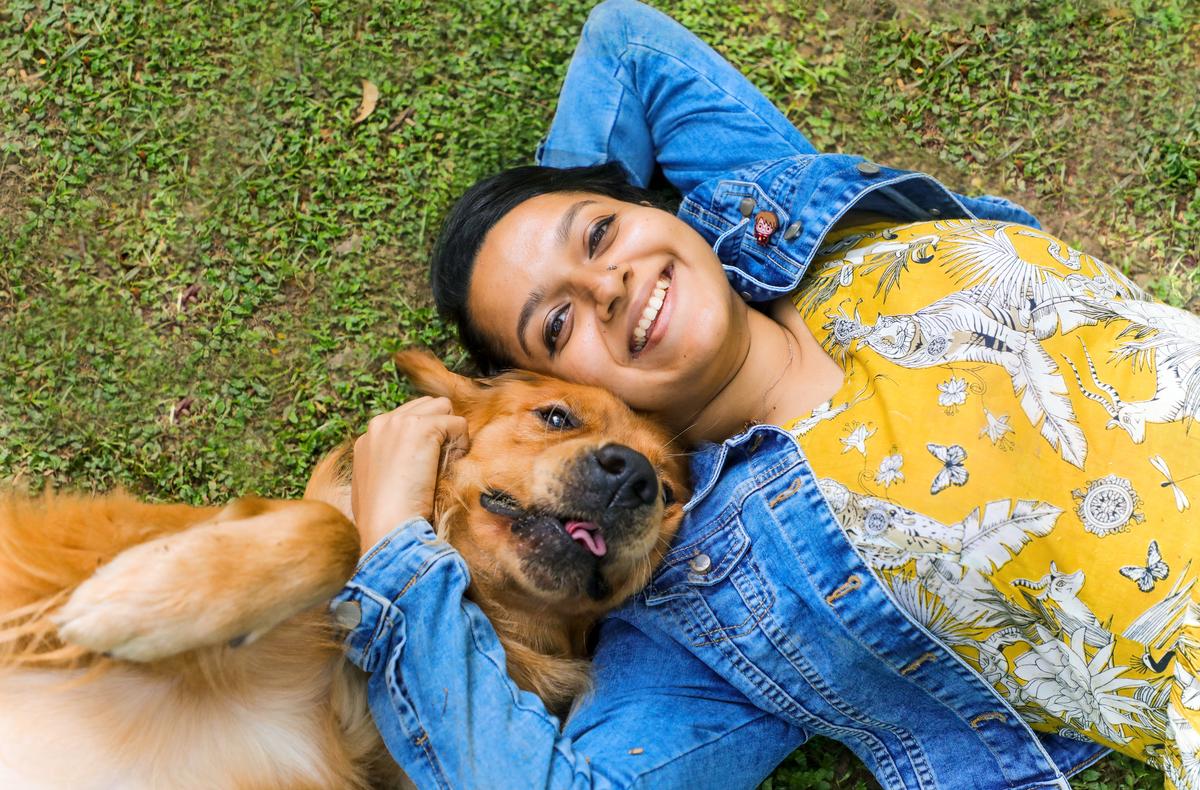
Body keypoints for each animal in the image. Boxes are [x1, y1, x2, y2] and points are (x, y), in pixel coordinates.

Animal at [0, 352, 686, 787]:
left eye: (671, 492)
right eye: (556, 416)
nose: (633, 478)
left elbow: (341, 536)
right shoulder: (56, 553)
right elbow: (334, 529)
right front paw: (142, 598)